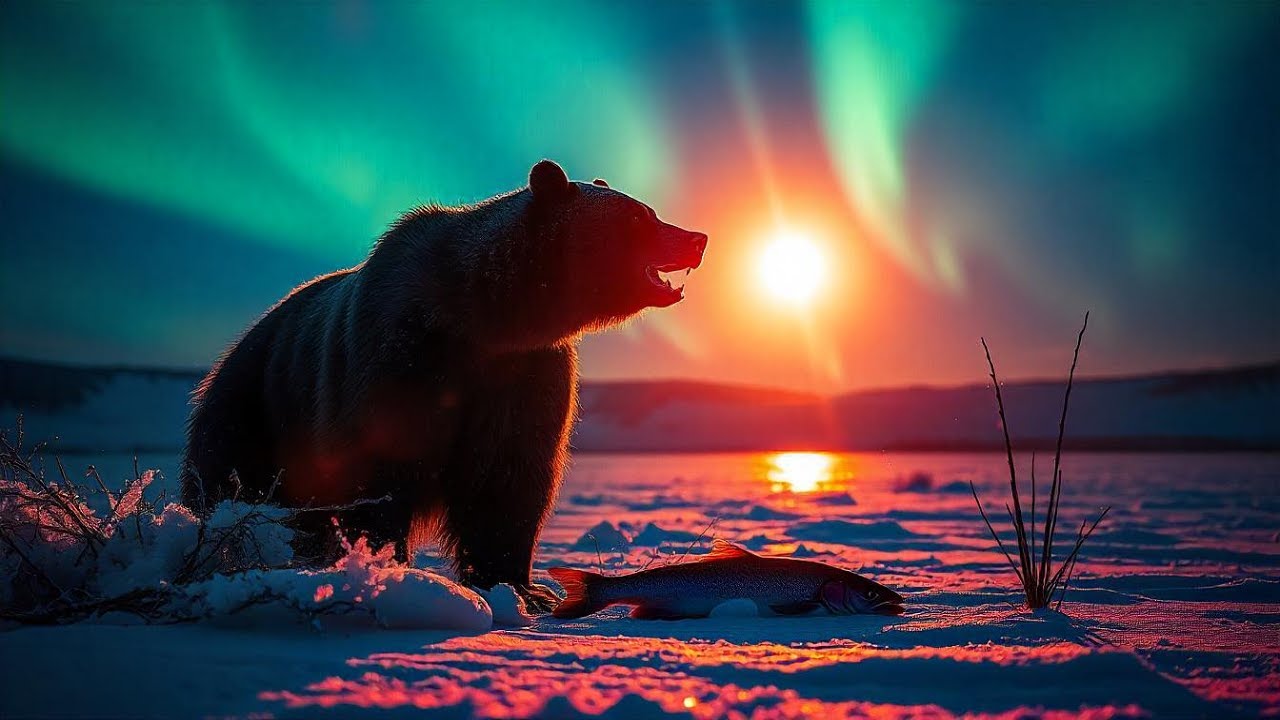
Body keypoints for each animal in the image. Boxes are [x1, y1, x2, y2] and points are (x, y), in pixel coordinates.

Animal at [180, 160, 707, 611]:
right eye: (639, 217)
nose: (696, 238)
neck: (482, 317)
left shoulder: (524, 375)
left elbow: (510, 478)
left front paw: (520, 587)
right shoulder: (399, 356)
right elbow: (381, 471)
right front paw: (382, 566)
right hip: (255, 403)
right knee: (227, 478)